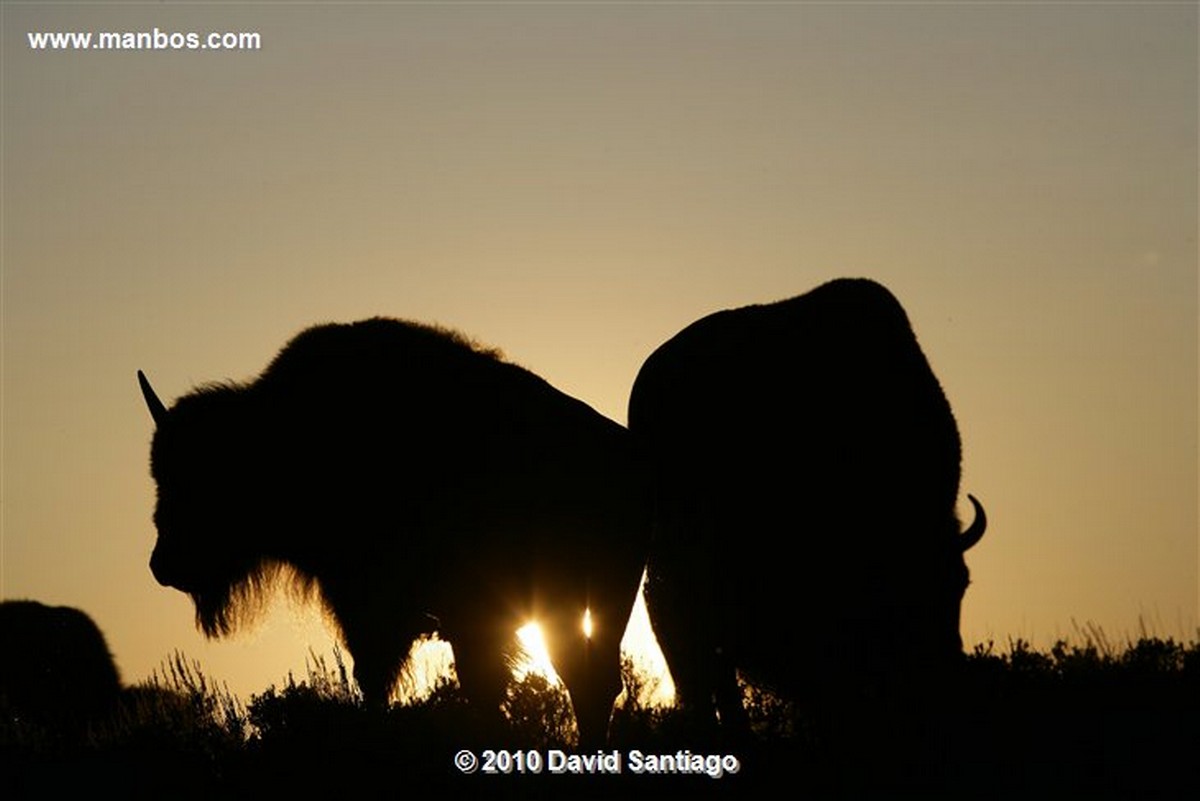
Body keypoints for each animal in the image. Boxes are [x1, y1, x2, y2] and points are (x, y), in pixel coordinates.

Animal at [138, 316, 648, 743]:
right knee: (591, 678)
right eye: (161, 475)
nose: (163, 564)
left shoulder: (411, 612)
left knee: (584, 678)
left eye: (204, 478)